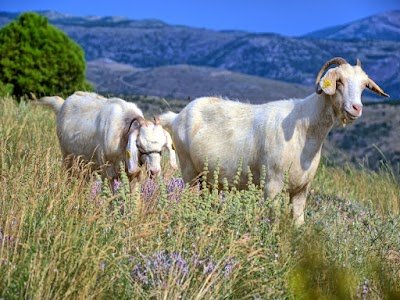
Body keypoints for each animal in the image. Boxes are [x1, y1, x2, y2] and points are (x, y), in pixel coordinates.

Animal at [38, 91, 177, 185]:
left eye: (162, 148)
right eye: (139, 145)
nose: (155, 172)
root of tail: (62, 104)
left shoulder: (134, 174)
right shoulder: (109, 173)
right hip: (67, 158)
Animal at [160, 56, 390, 225]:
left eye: (364, 85)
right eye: (339, 81)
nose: (356, 109)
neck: (304, 129)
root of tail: (176, 116)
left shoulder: (301, 189)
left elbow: (298, 223)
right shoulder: (272, 185)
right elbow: (273, 220)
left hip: (207, 178)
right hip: (189, 170)